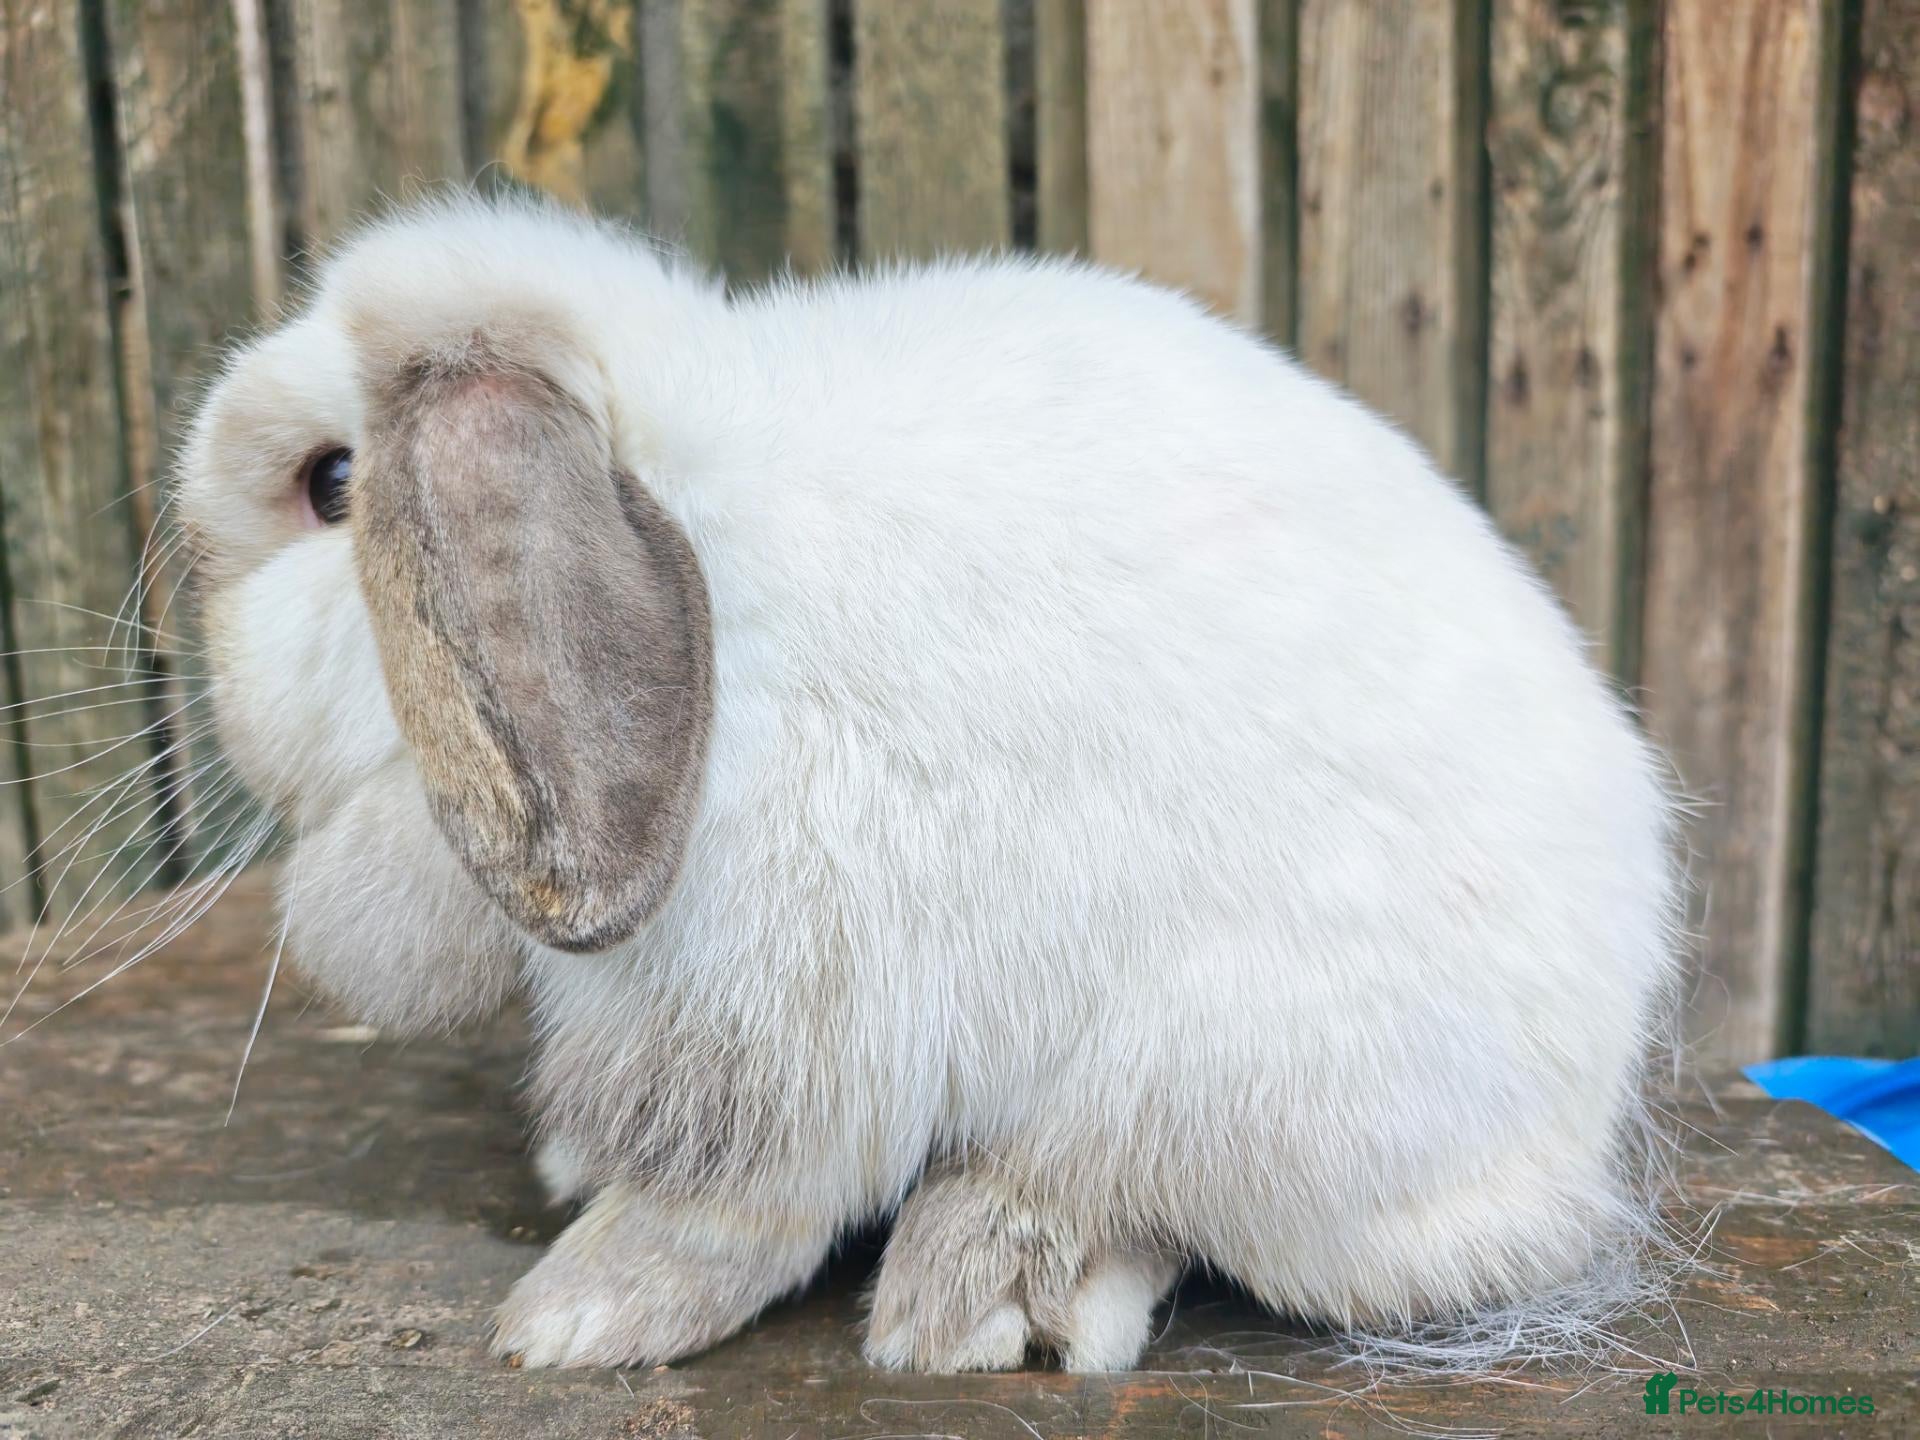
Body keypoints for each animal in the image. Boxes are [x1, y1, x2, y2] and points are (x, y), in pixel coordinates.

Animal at [175, 193, 1684, 1374]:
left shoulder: (766, 1014)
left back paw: (975, 1296)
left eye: (332, 484)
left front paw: (575, 1317)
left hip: (1234, 1080)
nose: (219, 687)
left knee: (1131, 1196)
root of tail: (1584, 1111)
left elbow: (727, 1200)